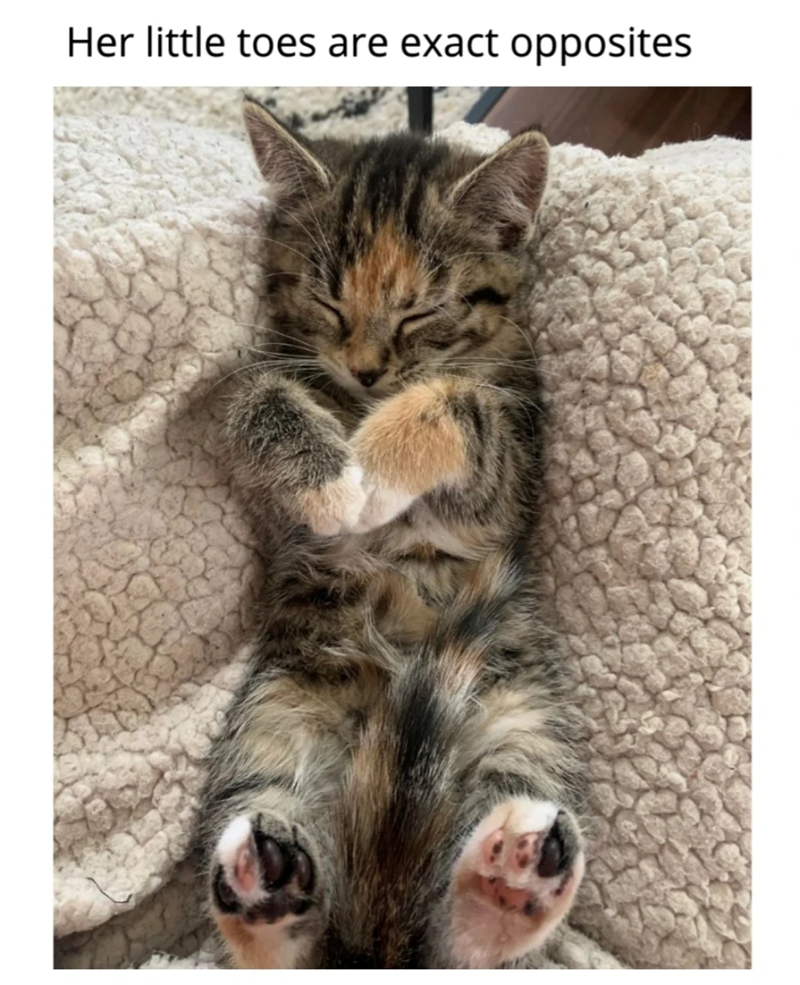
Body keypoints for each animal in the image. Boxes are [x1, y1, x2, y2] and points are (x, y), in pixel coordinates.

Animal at [194, 94, 588, 969]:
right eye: (327, 300)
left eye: (421, 310)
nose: (367, 369)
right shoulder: (260, 381)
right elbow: (254, 399)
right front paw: (333, 482)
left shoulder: (517, 466)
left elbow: (461, 404)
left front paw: (374, 459)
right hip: (274, 712)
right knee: (284, 912)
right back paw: (268, 885)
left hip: (524, 714)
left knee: (462, 940)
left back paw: (502, 891)